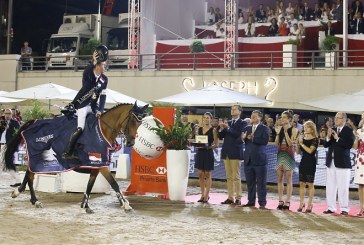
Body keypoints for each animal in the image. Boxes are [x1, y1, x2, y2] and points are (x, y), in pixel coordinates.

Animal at [2, 102, 148, 213]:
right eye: (133, 120)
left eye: (141, 123)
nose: (130, 143)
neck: (102, 130)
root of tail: (34, 121)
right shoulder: (99, 163)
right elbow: (113, 183)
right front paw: (125, 205)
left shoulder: (98, 164)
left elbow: (94, 184)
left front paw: (86, 205)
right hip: (37, 156)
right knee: (30, 175)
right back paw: (33, 199)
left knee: (29, 174)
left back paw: (22, 193)